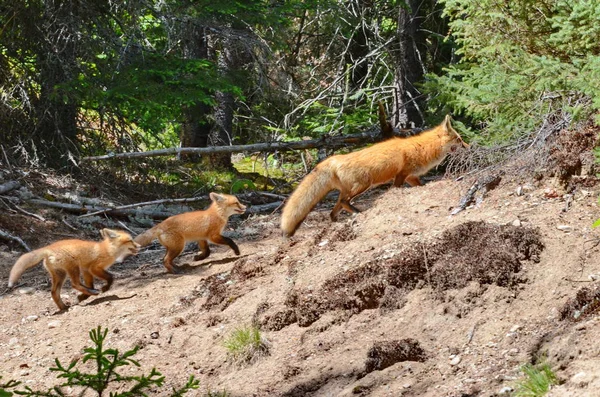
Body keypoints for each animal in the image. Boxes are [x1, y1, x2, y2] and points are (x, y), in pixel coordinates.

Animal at [8, 229, 141, 310]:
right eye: (130, 240)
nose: (139, 246)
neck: (108, 250)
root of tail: (48, 248)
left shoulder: (86, 269)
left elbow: (90, 284)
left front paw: (83, 297)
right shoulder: (93, 268)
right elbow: (110, 277)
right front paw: (104, 288)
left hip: (61, 275)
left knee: (54, 292)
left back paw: (64, 307)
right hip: (73, 268)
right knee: (74, 284)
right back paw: (91, 293)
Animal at [282, 116, 468, 237]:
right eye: (459, 140)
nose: (469, 146)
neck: (424, 147)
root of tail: (333, 159)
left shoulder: (411, 177)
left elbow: (420, 186)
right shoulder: (401, 174)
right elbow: (396, 188)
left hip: (351, 190)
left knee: (333, 211)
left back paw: (338, 223)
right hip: (363, 185)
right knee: (343, 202)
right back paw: (359, 213)